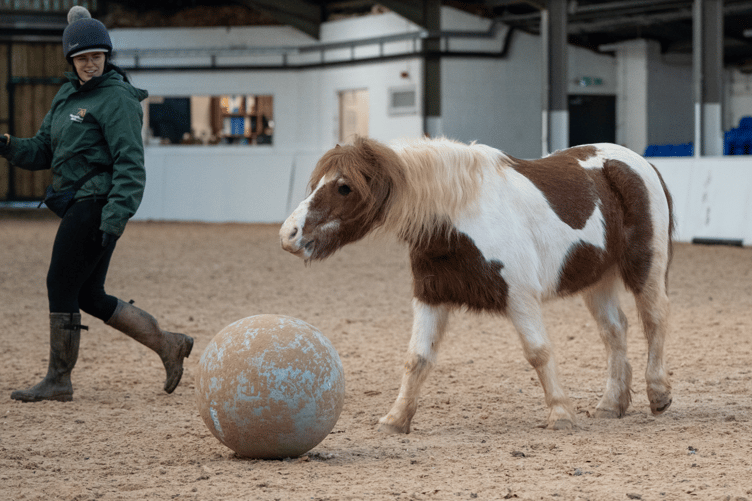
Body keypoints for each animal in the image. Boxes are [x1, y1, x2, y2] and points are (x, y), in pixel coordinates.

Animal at [280, 135, 674, 433]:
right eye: (316, 183)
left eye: (344, 187)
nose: (288, 234)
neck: (459, 216)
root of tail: (638, 163)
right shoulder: (430, 297)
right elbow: (417, 358)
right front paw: (395, 419)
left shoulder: (520, 297)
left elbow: (539, 352)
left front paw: (560, 414)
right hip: (598, 280)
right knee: (614, 331)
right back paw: (611, 404)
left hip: (645, 269)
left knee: (654, 320)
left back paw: (658, 394)